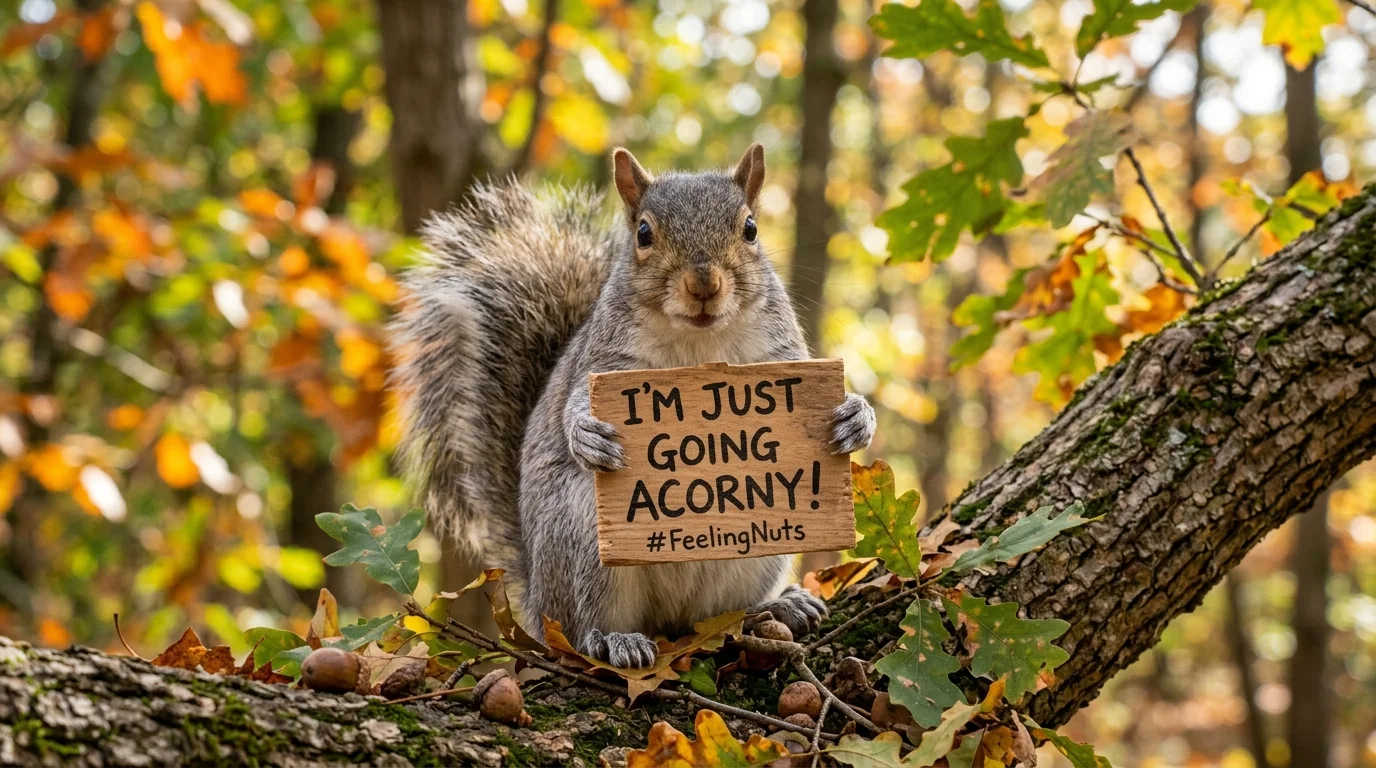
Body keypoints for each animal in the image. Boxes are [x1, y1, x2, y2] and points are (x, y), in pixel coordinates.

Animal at [392, 144, 876, 668]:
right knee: (581, 629)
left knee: (722, 613)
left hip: (762, 545)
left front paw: (855, 416)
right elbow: (573, 406)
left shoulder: (780, 353)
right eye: (643, 233)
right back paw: (612, 640)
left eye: (750, 228)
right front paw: (587, 434)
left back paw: (779, 608)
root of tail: (538, 601)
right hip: (583, 539)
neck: (698, 343)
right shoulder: (603, 361)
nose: (703, 284)